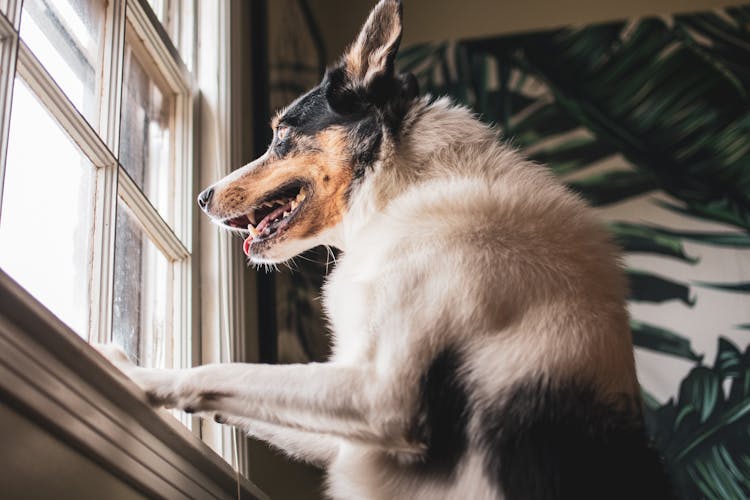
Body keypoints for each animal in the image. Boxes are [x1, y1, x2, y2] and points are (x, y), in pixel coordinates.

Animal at [95, 1, 676, 498]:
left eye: (281, 134)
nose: (201, 198)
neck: (402, 185)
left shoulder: (381, 396)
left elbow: (221, 371)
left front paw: (131, 373)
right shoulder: (347, 423)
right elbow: (238, 396)